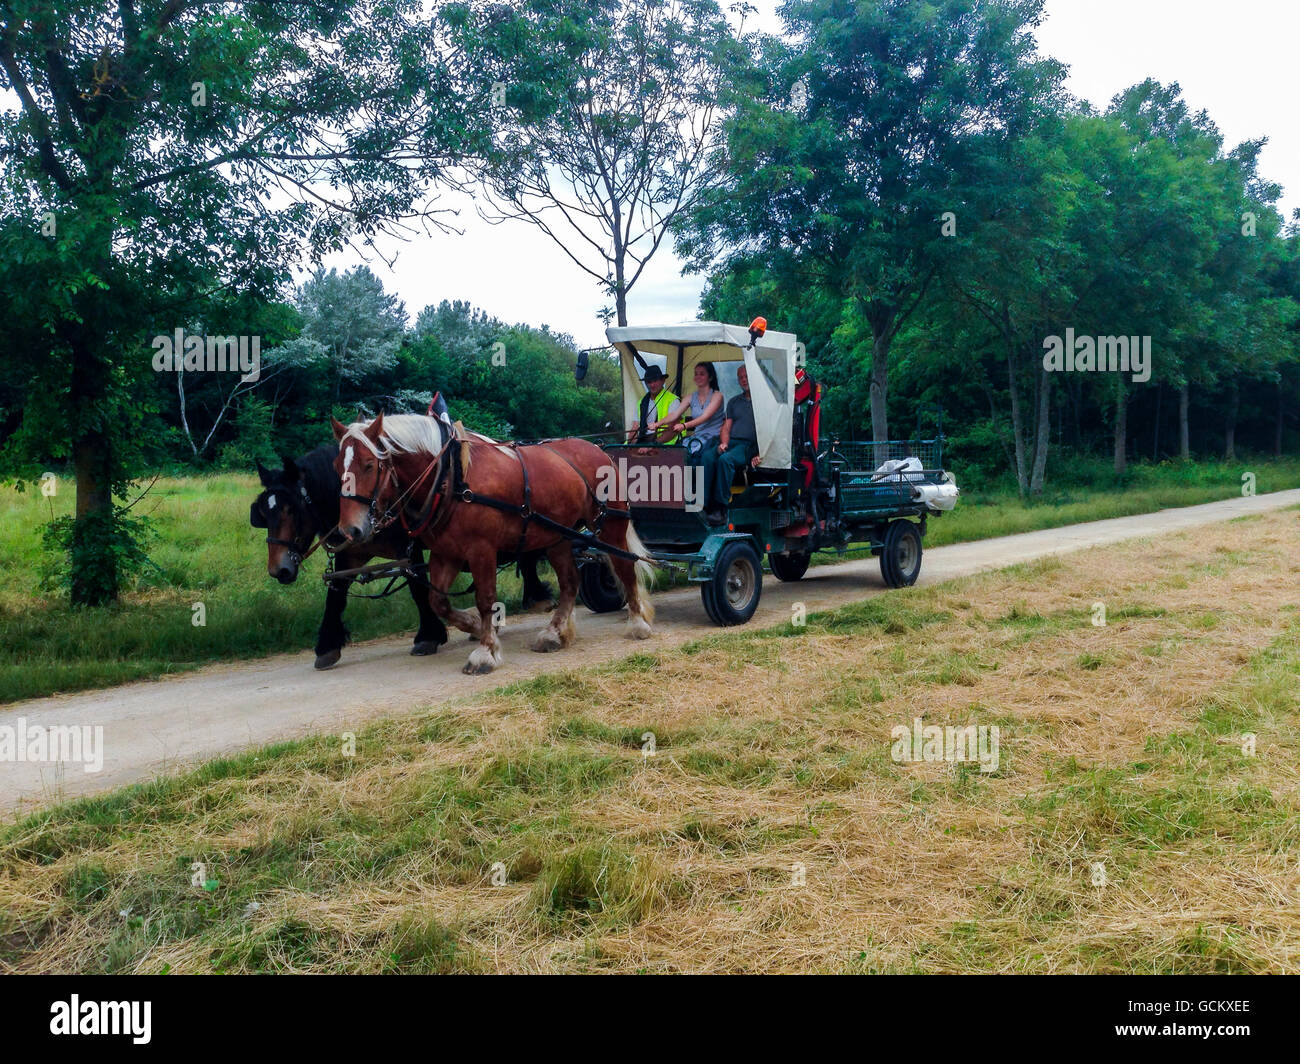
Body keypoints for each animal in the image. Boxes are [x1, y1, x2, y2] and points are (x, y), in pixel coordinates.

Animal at [249, 444, 557, 669]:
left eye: (291, 508)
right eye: (262, 512)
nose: (279, 569)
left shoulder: (409, 549)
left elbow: (418, 588)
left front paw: (429, 636)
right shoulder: (352, 554)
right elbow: (335, 596)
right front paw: (327, 645)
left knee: (529, 555)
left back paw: (536, 598)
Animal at [330, 413, 655, 674]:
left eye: (369, 465)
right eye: (336, 466)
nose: (350, 530)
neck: (453, 478)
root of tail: (597, 449)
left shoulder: (481, 549)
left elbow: (485, 599)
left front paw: (485, 650)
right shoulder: (445, 554)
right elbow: (438, 602)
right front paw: (474, 626)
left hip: (610, 524)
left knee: (624, 567)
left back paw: (638, 623)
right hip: (559, 536)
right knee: (570, 582)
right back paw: (554, 632)